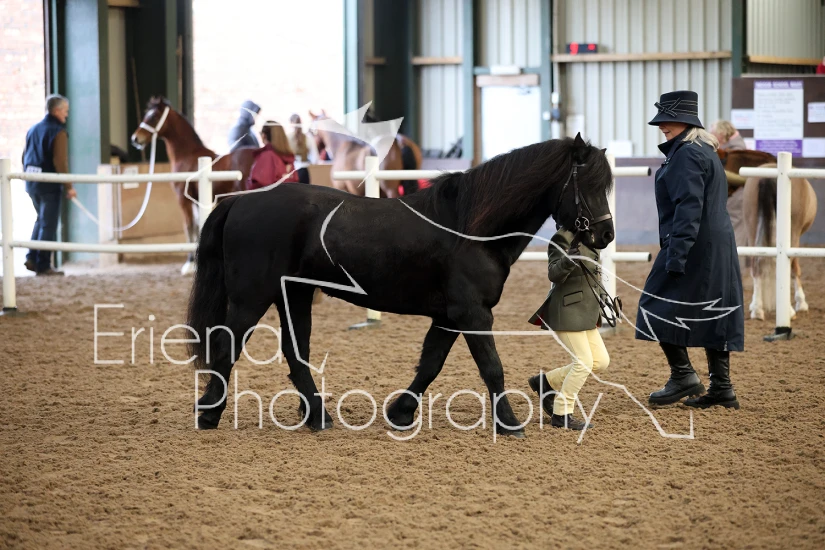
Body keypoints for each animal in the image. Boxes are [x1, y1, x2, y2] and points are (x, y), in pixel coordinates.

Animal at [130, 96, 256, 275]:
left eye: (153, 117)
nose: (135, 139)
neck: (188, 156)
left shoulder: (183, 199)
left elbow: (188, 227)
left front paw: (189, 264)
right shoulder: (197, 201)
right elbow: (197, 227)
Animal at [187, 134, 615, 437]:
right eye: (588, 185)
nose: (606, 235)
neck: (470, 228)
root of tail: (241, 200)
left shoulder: (448, 316)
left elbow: (431, 363)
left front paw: (400, 412)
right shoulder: (472, 312)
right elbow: (492, 367)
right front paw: (510, 424)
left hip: (295, 294)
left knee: (295, 353)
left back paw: (317, 417)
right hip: (252, 297)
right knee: (228, 343)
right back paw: (209, 412)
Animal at [742, 163, 817, 320]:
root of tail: (768, 178)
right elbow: (795, 269)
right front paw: (801, 303)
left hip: (752, 230)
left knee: (756, 264)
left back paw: (757, 309)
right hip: (791, 234)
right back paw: (788, 310)